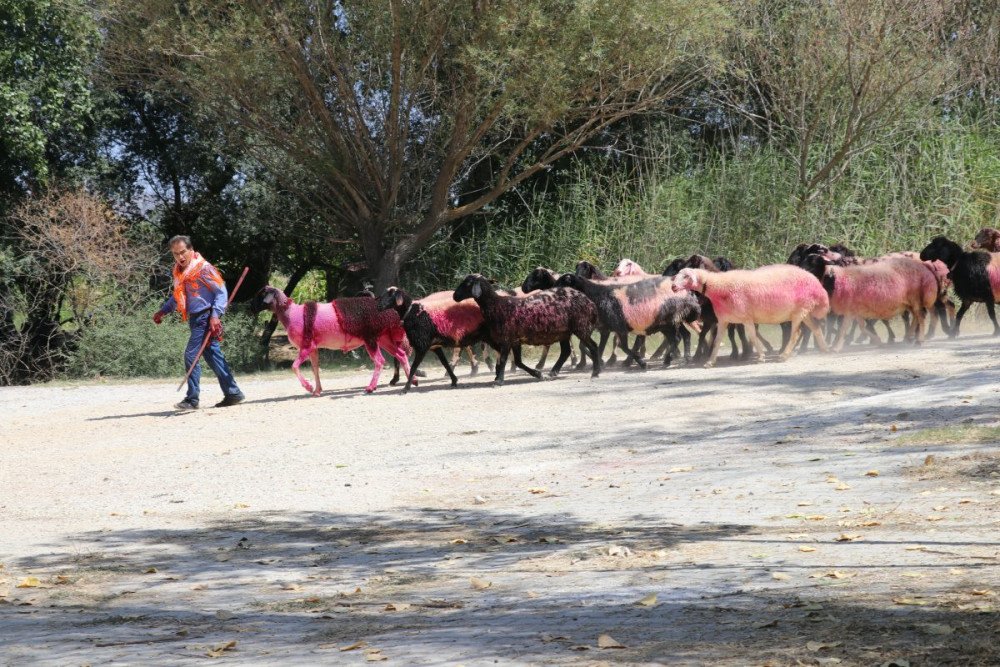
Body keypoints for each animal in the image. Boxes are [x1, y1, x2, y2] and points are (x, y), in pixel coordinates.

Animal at [254, 288, 410, 396]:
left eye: (262, 294)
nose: (250, 307)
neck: (291, 313)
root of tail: (391, 312)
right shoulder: (313, 347)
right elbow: (315, 368)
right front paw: (317, 391)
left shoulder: (306, 345)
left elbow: (294, 366)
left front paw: (309, 387)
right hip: (383, 337)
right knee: (401, 355)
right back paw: (411, 380)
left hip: (370, 338)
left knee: (380, 361)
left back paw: (371, 388)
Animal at [672, 264, 828, 368]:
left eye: (686, 276)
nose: (673, 287)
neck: (718, 288)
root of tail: (818, 286)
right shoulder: (723, 320)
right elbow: (717, 341)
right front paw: (710, 362)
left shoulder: (746, 318)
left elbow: (752, 336)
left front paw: (761, 357)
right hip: (805, 311)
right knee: (816, 328)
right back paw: (824, 350)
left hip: (799, 311)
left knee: (797, 333)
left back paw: (784, 355)